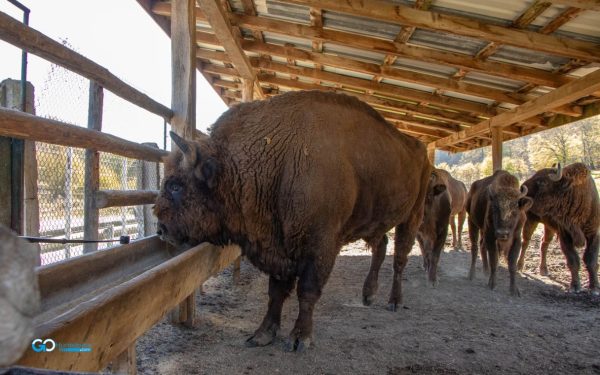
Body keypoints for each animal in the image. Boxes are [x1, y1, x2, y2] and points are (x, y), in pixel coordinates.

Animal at [154, 92, 432, 352]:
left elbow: (307, 291)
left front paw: (300, 339)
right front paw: (262, 334)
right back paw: (368, 296)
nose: (161, 227)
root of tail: (420, 150)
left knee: (399, 259)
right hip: (373, 221)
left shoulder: (320, 246)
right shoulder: (278, 245)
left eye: (176, 185)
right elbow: (276, 292)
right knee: (381, 244)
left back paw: (394, 302)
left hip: (412, 216)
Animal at [516, 163, 600, 296]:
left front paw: (594, 288)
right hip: (531, 220)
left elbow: (591, 259)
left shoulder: (593, 233)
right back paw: (519, 266)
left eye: (542, 182)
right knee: (526, 242)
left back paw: (543, 270)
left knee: (544, 244)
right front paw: (575, 287)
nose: (521, 191)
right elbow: (573, 259)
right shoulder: (564, 234)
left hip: (548, 227)